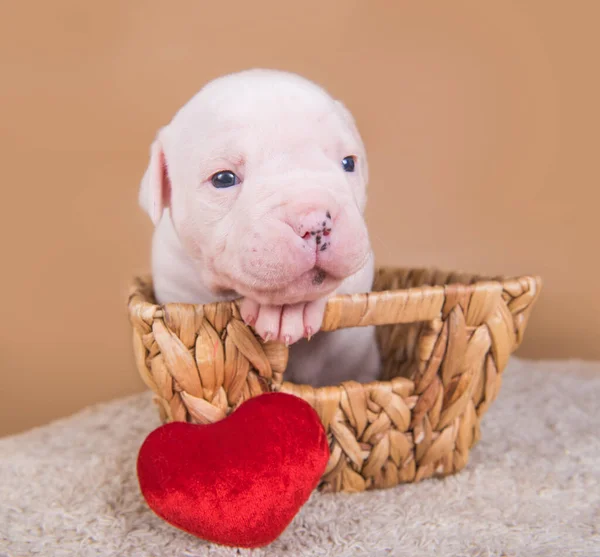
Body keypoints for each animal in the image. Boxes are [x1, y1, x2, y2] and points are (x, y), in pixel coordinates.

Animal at [139, 67, 380, 384]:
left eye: (348, 163)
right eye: (223, 179)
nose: (314, 222)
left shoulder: (361, 266)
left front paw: (290, 310)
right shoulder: (174, 283)